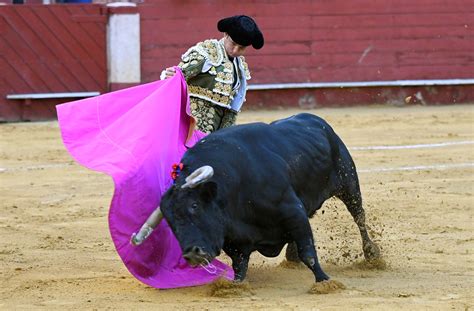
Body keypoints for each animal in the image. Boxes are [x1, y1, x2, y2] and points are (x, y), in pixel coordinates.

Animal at [161, 114, 380, 282]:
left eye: (195, 206)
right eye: (170, 221)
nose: (191, 253)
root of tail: (317, 121)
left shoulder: (293, 210)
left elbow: (308, 252)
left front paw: (324, 281)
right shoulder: (235, 237)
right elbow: (239, 267)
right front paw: (234, 286)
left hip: (348, 182)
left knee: (359, 217)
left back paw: (372, 253)